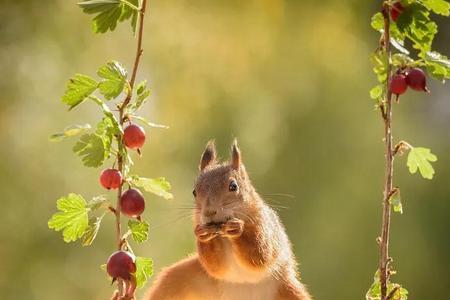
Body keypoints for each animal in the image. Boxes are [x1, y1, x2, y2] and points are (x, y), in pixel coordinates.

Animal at [146, 141, 312, 300]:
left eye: (233, 186)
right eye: (194, 192)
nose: (209, 212)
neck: (222, 233)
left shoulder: (265, 226)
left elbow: (260, 254)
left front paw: (237, 229)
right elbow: (215, 266)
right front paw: (203, 235)